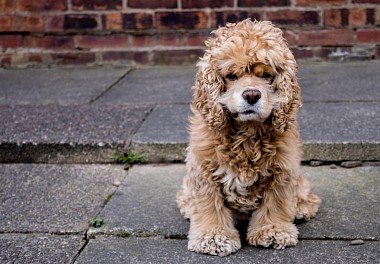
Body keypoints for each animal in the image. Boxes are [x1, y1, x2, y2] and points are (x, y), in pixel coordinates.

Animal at [177, 19, 320, 256]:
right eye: (231, 75)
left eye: (266, 75)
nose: (252, 95)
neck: (247, 135)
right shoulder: (204, 169)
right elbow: (209, 205)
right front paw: (214, 237)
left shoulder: (282, 169)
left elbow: (276, 203)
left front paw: (273, 231)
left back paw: (301, 207)